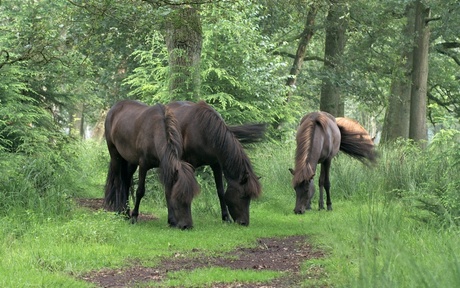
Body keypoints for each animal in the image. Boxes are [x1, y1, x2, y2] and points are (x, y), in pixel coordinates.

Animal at [104, 100, 199, 228]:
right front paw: (134, 217)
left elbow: (167, 191)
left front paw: (172, 221)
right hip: (115, 155)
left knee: (126, 182)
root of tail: (114, 108)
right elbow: (140, 191)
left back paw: (125, 212)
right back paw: (121, 212)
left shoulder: (164, 167)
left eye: (191, 197)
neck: (154, 133)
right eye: (178, 197)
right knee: (119, 183)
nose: (187, 226)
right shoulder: (143, 165)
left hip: (130, 161)